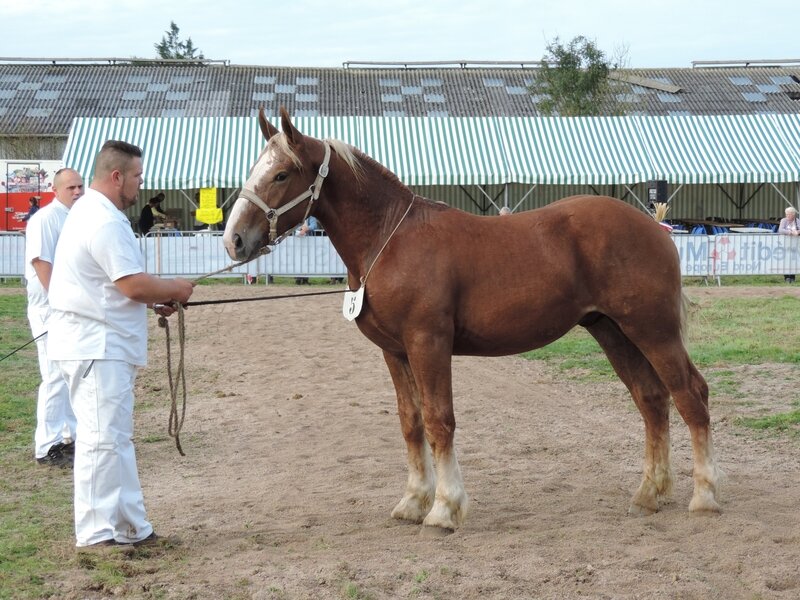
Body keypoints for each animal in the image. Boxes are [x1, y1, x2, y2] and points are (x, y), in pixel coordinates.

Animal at [222, 106, 720, 528]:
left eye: (281, 173)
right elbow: (411, 422)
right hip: (613, 332)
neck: (390, 238)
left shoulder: (429, 343)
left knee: (691, 395)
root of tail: (654, 227)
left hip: (653, 331)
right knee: (652, 400)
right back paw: (649, 494)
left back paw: (704, 495)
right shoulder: (395, 353)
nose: (234, 241)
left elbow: (440, 420)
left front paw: (444, 507)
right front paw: (413, 500)